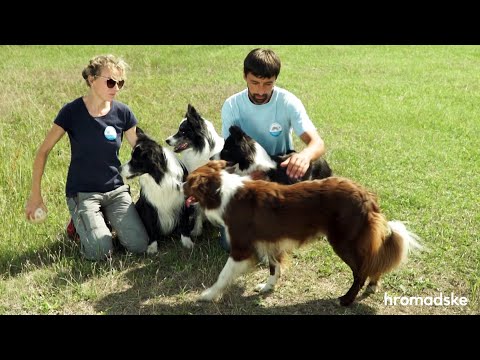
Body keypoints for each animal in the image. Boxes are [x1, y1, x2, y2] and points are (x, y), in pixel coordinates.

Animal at [183, 162, 420, 306]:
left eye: (188, 183)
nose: (179, 184)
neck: (220, 192)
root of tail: (367, 196)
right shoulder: (269, 240)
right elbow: (274, 266)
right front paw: (268, 286)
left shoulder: (241, 249)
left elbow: (223, 275)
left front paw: (208, 294)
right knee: (373, 261)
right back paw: (372, 285)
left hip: (344, 241)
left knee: (361, 271)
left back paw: (346, 299)